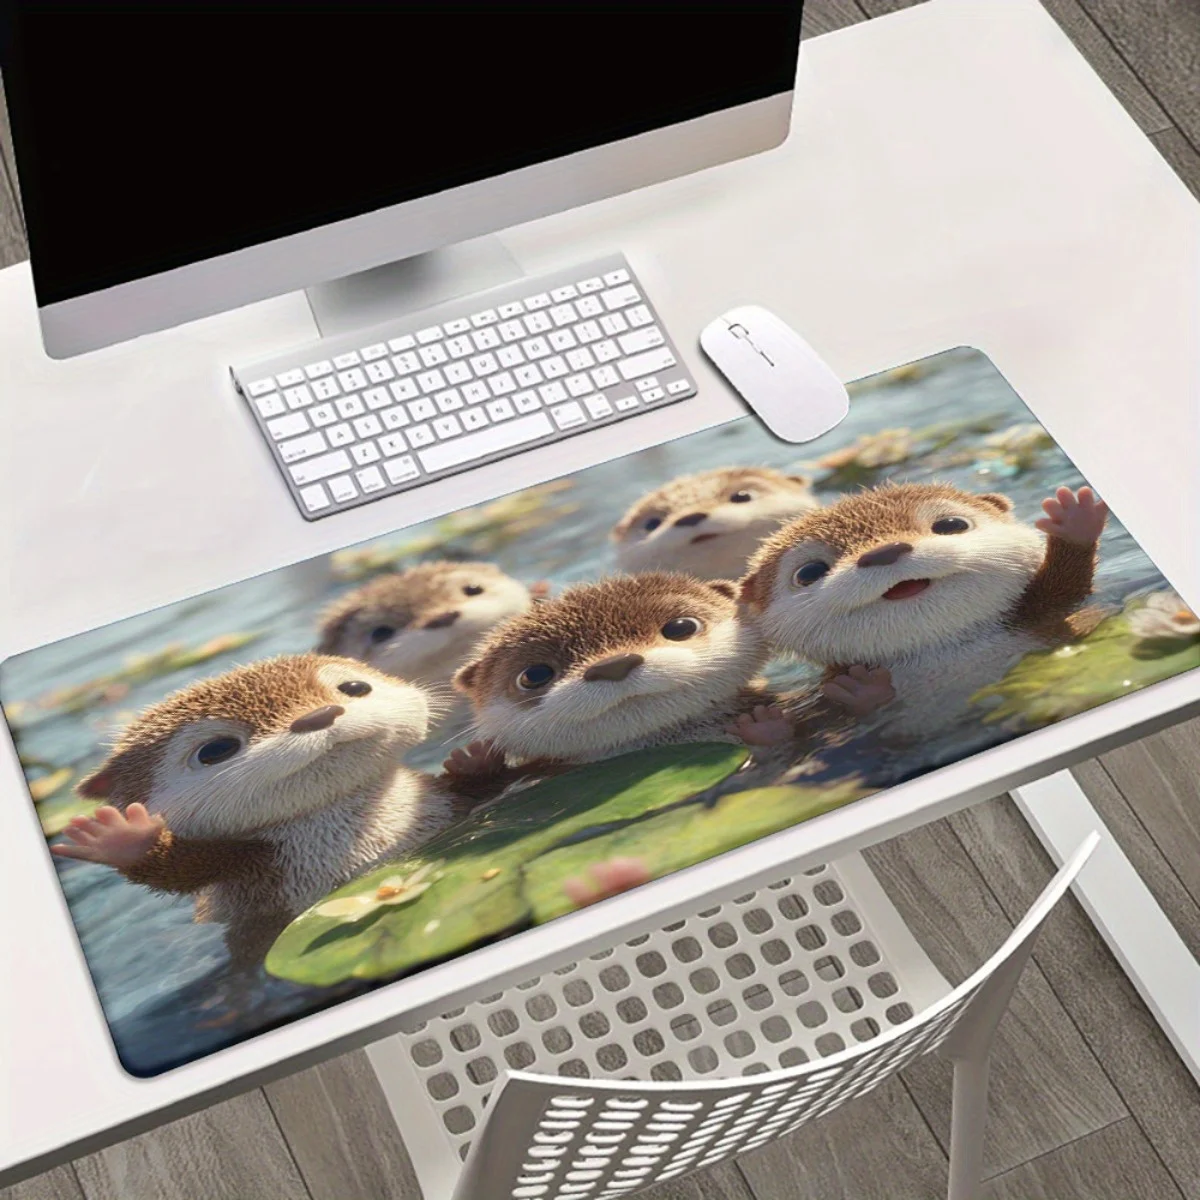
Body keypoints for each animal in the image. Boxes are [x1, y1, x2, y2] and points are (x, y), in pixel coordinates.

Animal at [52, 655, 469, 966]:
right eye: (216, 750)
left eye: (355, 688)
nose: (319, 715)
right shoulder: (249, 865)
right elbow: (177, 869)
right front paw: (124, 838)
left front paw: (469, 762)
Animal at [739, 482, 1108, 738]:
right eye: (809, 572)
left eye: (952, 525)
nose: (884, 552)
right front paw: (860, 691)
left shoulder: (1041, 615)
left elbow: (1069, 587)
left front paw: (1074, 522)